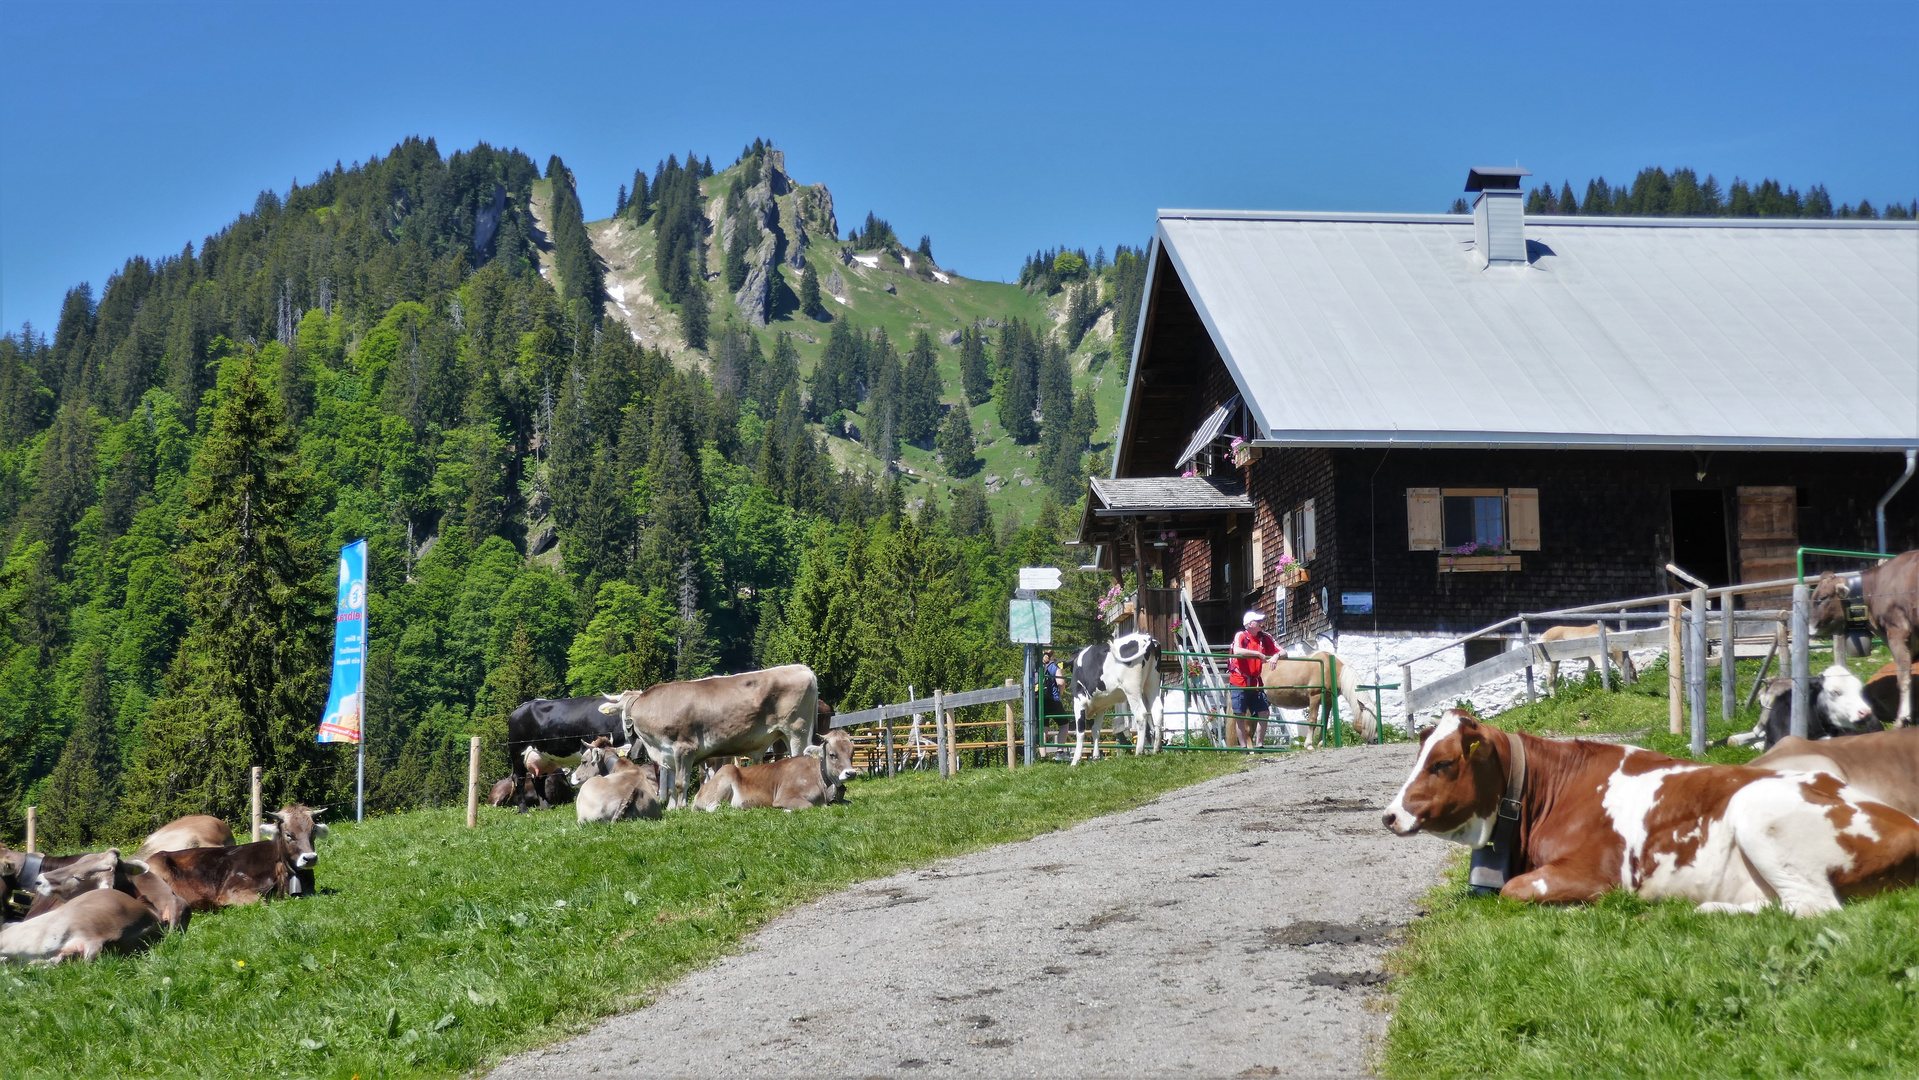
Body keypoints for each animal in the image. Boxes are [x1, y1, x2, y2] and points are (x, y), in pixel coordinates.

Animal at [602, 663, 821, 805]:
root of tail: (802, 669)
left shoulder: (684, 749)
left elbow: (681, 783)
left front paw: (682, 808)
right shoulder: (668, 755)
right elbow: (671, 786)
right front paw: (672, 809)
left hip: (797, 730)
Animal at [698, 725, 855, 813]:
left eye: (852, 753)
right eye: (832, 754)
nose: (851, 773)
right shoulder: (785, 796)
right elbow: (809, 806)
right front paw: (786, 810)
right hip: (725, 776)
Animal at [1389, 713, 1919, 916]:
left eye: (1442, 763)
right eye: (1418, 758)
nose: (1390, 816)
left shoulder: (1598, 871)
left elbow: (1515, 891)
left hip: (1756, 810)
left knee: (1813, 907)